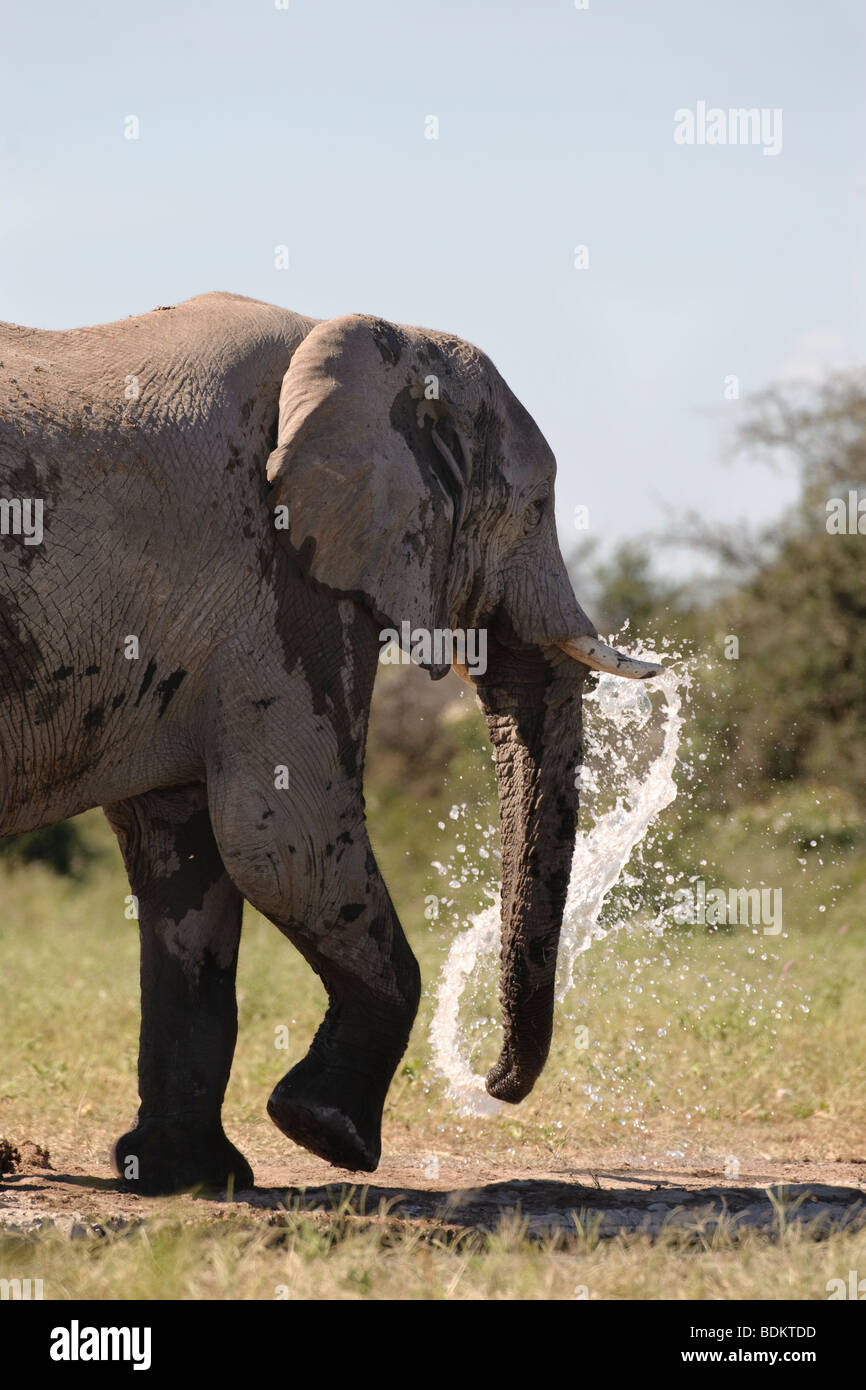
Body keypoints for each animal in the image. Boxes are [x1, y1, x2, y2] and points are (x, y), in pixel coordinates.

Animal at [0, 293, 664, 1195]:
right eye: (535, 512)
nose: (491, 1086)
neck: (372, 340)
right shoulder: (280, 581)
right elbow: (285, 842)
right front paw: (329, 1134)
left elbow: (189, 868)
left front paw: (188, 1178)